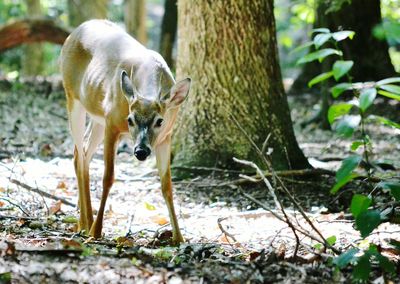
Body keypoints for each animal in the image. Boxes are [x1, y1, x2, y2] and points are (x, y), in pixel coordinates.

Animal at [59, 19, 191, 244]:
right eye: (130, 119)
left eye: (160, 121)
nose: (141, 151)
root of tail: (74, 31)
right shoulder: (112, 122)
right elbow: (108, 177)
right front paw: (96, 231)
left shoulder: (165, 137)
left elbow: (167, 185)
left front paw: (179, 237)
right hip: (73, 98)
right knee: (80, 156)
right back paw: (86, 224)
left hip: (97, 118)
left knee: (82, 153)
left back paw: (83, 221)